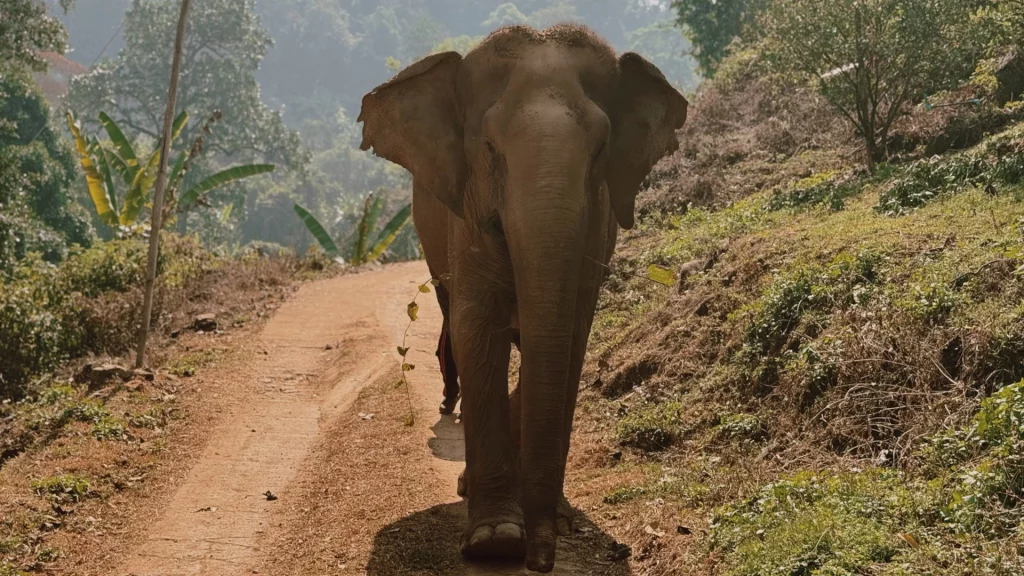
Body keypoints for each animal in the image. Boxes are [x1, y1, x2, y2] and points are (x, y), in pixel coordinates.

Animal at [358, 24, 687, 573]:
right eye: (490, 148)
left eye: (601, 150)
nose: (541, 560)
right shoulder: (466, 218)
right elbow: (475, 330)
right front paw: (494, 540)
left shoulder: (594, 231)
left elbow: (569, 336)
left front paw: (546, 520)